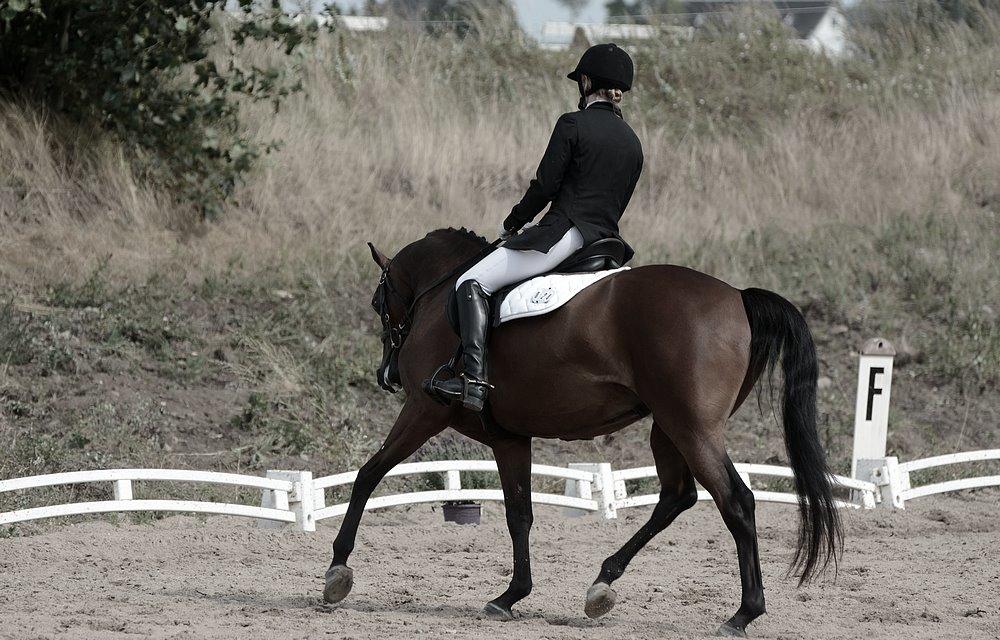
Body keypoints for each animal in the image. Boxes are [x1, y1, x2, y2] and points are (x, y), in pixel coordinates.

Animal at [324, 228, 840, 636]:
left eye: (378, 303)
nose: (387, 375)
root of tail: (737, 295)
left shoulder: (423, 410)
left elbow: (368, 475)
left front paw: (337, 571)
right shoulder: (509, 438)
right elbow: (519, 514)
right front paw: (511, 596)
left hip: (692, 429)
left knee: (735, 501)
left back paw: (742, 614)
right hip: (669, 429)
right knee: (678, 496)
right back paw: (602, 584)